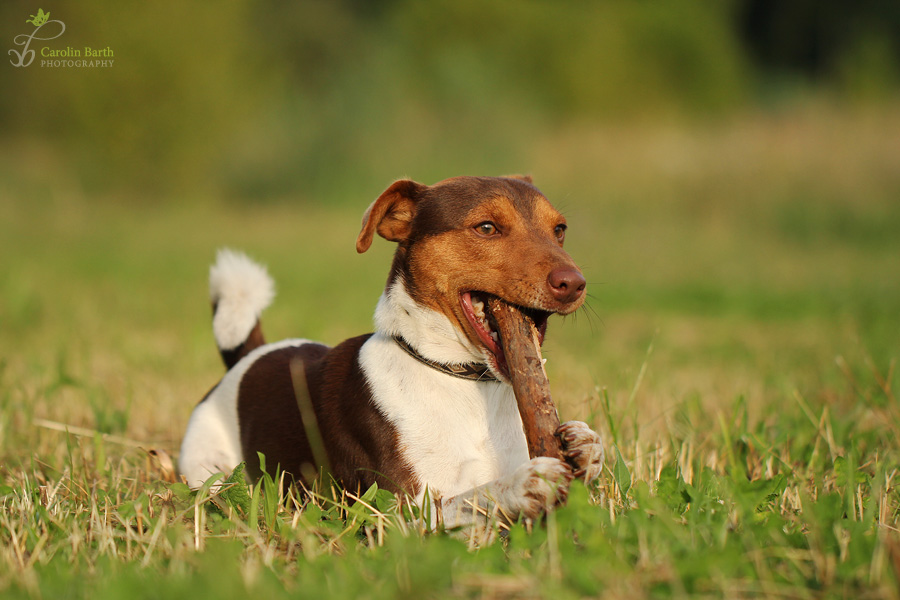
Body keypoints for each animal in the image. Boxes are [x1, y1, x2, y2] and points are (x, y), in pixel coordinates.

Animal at [179, 176, 604, 528]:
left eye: (560, 230)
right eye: (486, 227)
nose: (574, 283)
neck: (460, 378)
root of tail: (245, 358)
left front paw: (585, 445)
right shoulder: (396, 513)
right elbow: (471, 498)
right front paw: (524, 483)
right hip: (208, 470)